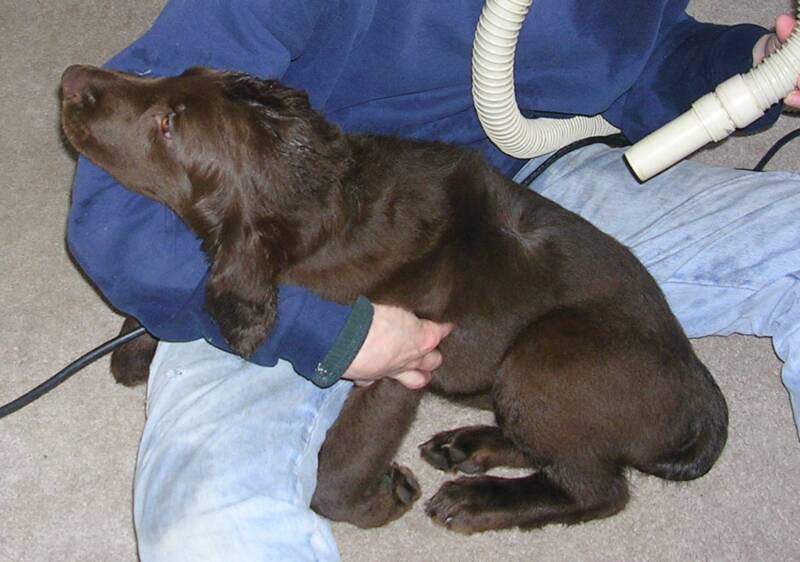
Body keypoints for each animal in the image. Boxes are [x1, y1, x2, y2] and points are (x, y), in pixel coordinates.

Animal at [59, 64, 728, 528]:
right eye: (179, 74)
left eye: (168, 126)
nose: (71, 80)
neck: (332, 204)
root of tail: (698, 389)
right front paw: (135, 342)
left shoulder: (400, 364)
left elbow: (334, 472)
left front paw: (382, 498)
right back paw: (467, 445)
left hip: (543, 357)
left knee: (596, 487)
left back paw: (480, 500)